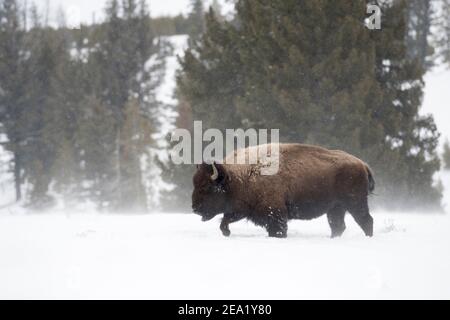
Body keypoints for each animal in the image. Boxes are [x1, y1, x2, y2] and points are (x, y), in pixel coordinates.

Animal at [192, 143, 374, 238]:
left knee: (366, 221)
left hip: (355, 203)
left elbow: (278, 229)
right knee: (338, 225)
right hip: (336, 208)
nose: (194, 208)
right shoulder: (242, 210)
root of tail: (362, 164)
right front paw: (226, 232)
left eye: (207, 187)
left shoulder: (275, 213)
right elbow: (224, 221)